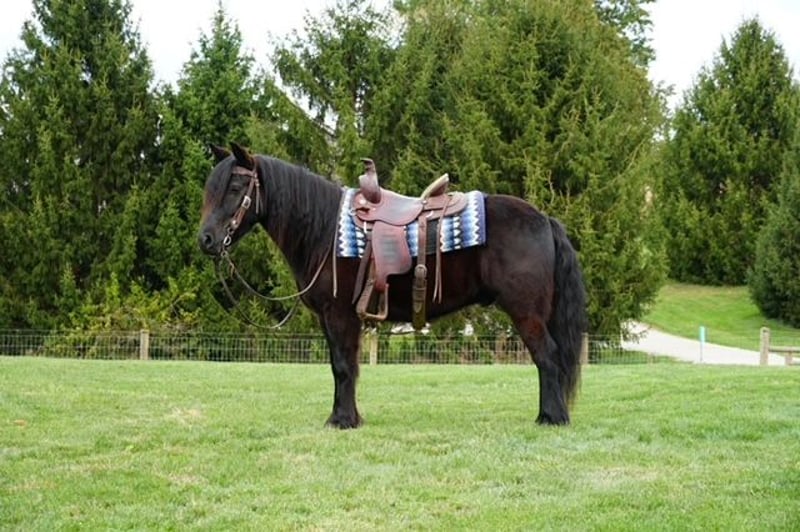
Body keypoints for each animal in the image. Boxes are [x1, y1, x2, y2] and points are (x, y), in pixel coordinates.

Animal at [198, 142, 587, 428]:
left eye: (235, 187)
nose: (206, 240)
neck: (325, 230)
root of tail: (544, 219)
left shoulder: (339, 315)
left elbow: (342, 366)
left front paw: (342, 420)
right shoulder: (333, 319)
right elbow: (343, 365)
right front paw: (349, 416)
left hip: (526, 313)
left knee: (547, 357)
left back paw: (551, 418)